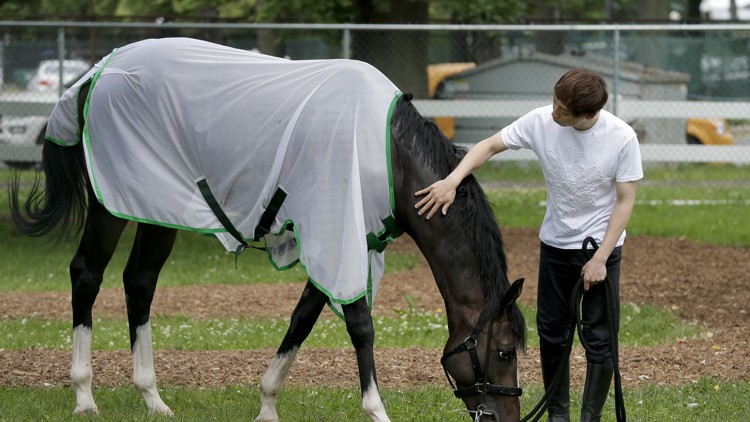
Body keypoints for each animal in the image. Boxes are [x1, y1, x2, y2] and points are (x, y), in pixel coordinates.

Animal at [10, 38, 528, 420]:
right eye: (504, 353)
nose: (508, 418)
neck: (385, 150)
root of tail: (100, 71)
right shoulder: (335, 232)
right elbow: (360, 325)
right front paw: (377, 411)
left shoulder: (340, 241)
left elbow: (303, 318)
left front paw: (266, 404)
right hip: (110, 208)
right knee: (86, 274)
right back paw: (84, 396)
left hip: (158, 210)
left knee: (139, 282)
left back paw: (152, 398)